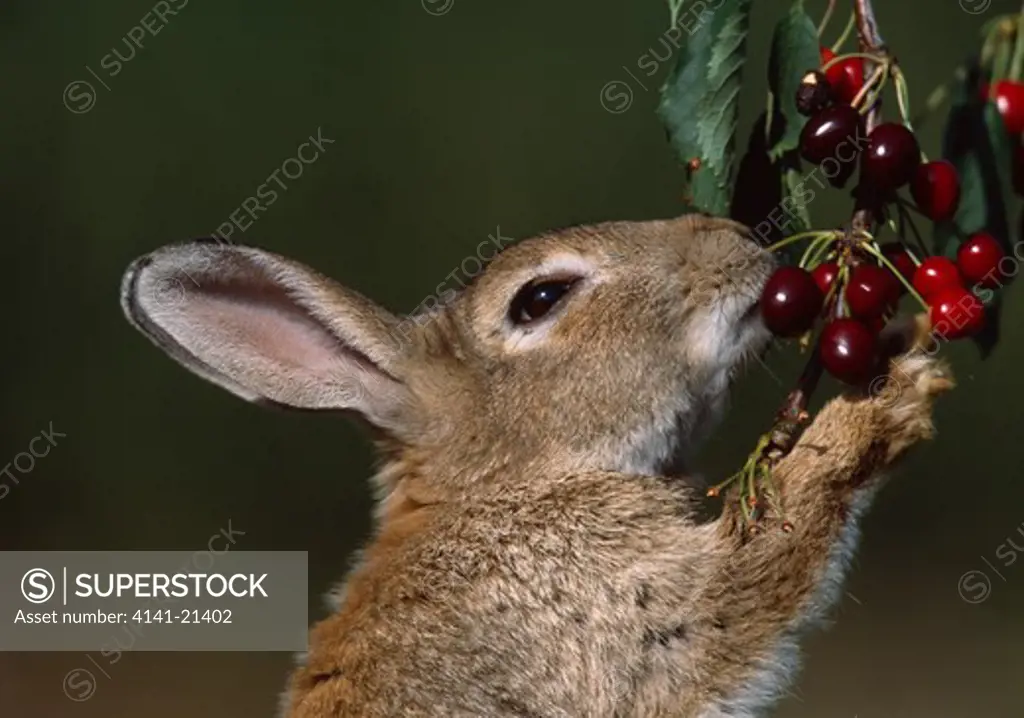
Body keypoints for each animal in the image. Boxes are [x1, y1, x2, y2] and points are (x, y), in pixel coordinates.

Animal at [119, 214, 950, 716]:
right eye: (540, 298)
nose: (739, 238)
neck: (506, 481)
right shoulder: (626, 621)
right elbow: (757, 575)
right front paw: (884, 405)